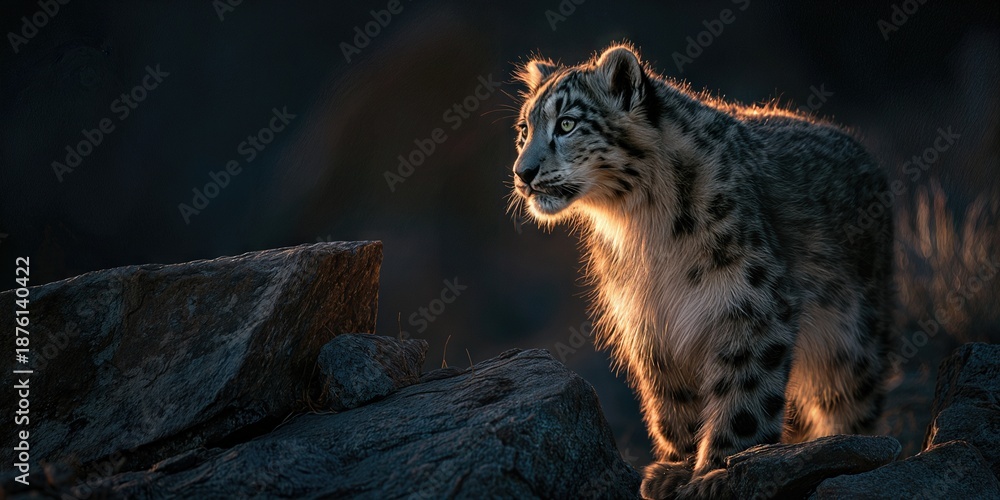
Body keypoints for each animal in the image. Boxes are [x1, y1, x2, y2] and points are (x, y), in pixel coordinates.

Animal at [508, 43, 894, 499]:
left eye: (566, 123)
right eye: (524, 129)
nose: (522, 173)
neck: (641, 225)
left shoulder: (752, 301)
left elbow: (744, 392)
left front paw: (716, 471)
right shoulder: (649, 318)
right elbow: (672, 396)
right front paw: (677, 467)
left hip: (853, 342)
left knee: (850, 400)